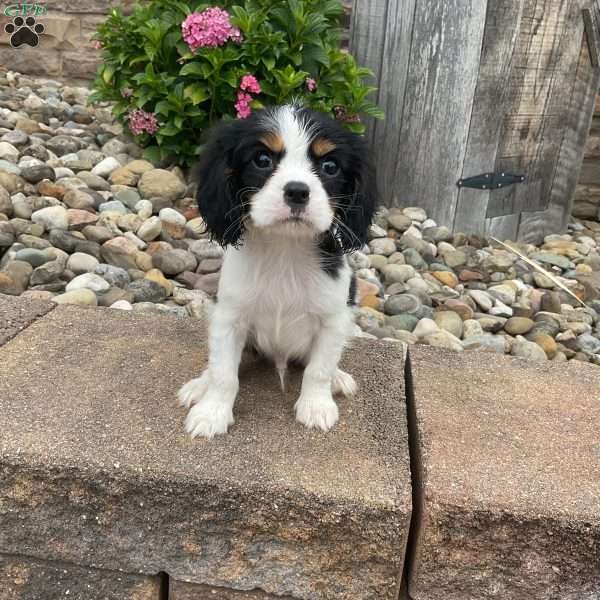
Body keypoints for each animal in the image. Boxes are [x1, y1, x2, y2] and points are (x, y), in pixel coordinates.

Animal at [177, 105, 376, 438]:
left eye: (330, 166)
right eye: (262, 160)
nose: (297, 191)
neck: (286, 250)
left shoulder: (334, 319)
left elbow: (319, 370)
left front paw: (316, 407)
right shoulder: (229, 317)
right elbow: (223, 373)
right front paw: (211, 413)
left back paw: (339, 378)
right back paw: (199, 385)